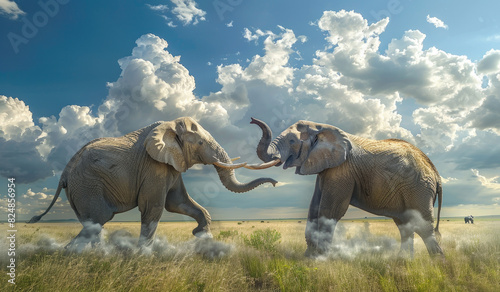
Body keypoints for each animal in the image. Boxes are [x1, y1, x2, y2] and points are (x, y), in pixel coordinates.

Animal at [28, 116, 276, 249]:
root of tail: (64, 172)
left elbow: (178, 203)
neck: (170, 126)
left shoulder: (171, 164)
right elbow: (154, 207)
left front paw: (202, 236)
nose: (274, 183)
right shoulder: (153, 167)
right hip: (87, 185)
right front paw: (143, 256)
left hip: (80, 189)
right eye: (199, 143)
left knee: (93, 225)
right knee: (98, 220)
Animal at [248, 117, 444, 256]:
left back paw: (438, 267)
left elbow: (330, 210)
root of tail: (436, 173)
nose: (251, 120)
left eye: (291, 142)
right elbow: (314, 207)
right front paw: (309, 257)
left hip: (419, 188)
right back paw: (401, 264)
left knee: (423, 227)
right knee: (405, 226)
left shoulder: (342, 170)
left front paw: (319, 260)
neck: (321, 127)